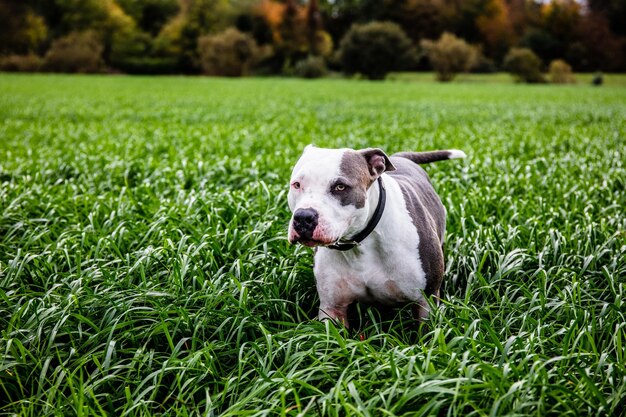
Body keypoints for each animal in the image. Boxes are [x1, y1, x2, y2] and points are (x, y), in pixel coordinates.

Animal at [286, 146, 464, 324]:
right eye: (297, 185)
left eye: (340, 187)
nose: (303, 217)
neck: (360, 244)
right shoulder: (332, 308)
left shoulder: (426, 303)